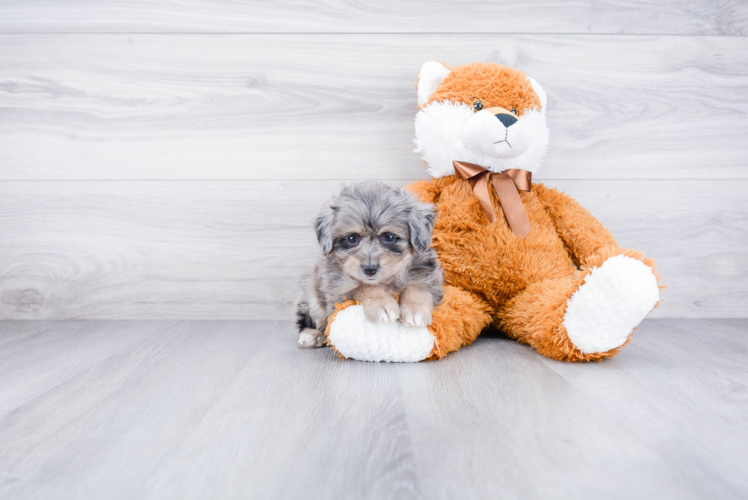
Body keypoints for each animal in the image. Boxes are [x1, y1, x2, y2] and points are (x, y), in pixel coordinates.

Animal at [294, 180, 444, 348]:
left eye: (389, 237)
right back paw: (311, 335)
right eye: (351, 238)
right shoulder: (339, 290)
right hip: (310, 292)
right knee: (308, 315)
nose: (370, 269)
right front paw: (381, 304)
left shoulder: (429, 277)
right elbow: (365, 287)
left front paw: (415, 310)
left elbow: (417, 288)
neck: (387, 280)